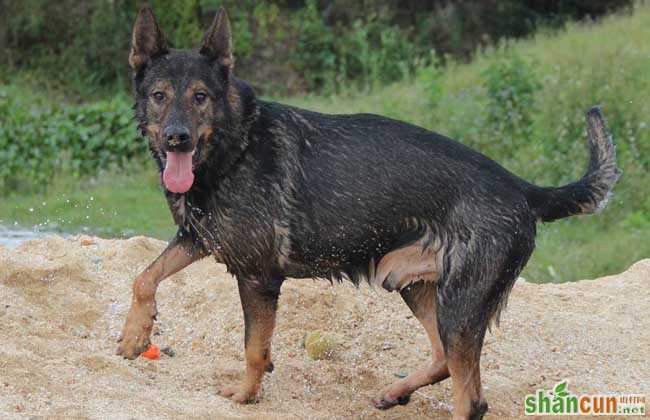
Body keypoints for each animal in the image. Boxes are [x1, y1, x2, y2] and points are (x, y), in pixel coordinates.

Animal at [116, 6, 616, 420]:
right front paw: (136, 334)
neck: (232, 147)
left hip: (458, 309)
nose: (177, 138)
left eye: (200, 96)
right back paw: (396, 392)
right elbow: (144, 276)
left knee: (470, 398)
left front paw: (244, 395)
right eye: (159, 95)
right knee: (443, 361)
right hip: (410, 285)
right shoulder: (197, 238)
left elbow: (254, 350)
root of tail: (522, 189)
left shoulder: (258, 279)